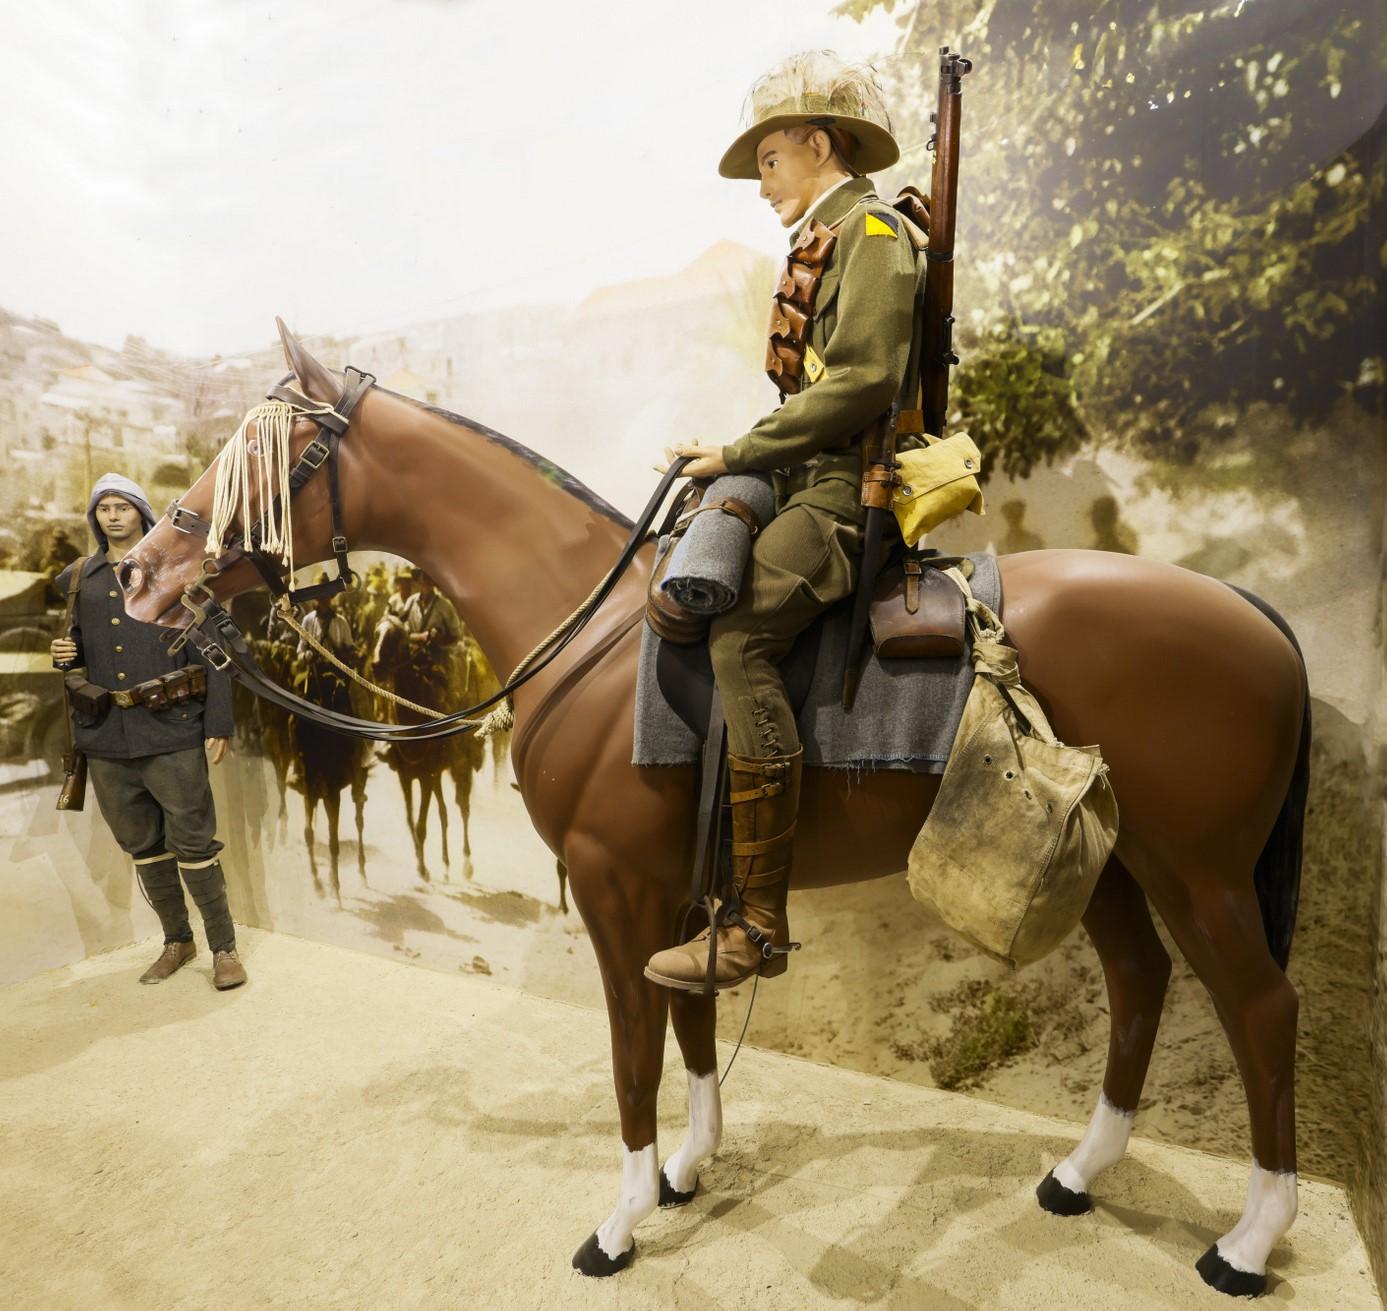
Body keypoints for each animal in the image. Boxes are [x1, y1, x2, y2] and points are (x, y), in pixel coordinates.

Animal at [122, 330, 1309, 1298]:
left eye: (261, 457)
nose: (139, 569)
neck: (597, 638)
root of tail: (1251, 614)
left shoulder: (616, 893)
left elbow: (633, 1060)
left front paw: (621, 1222)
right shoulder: (679, 897)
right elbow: (690, 1031)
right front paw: (689, 1169)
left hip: (1197, 875)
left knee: (1259, 1011)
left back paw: (1249, 1242)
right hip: (1111, 863)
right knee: (1139, 981)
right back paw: (1078, 1172)